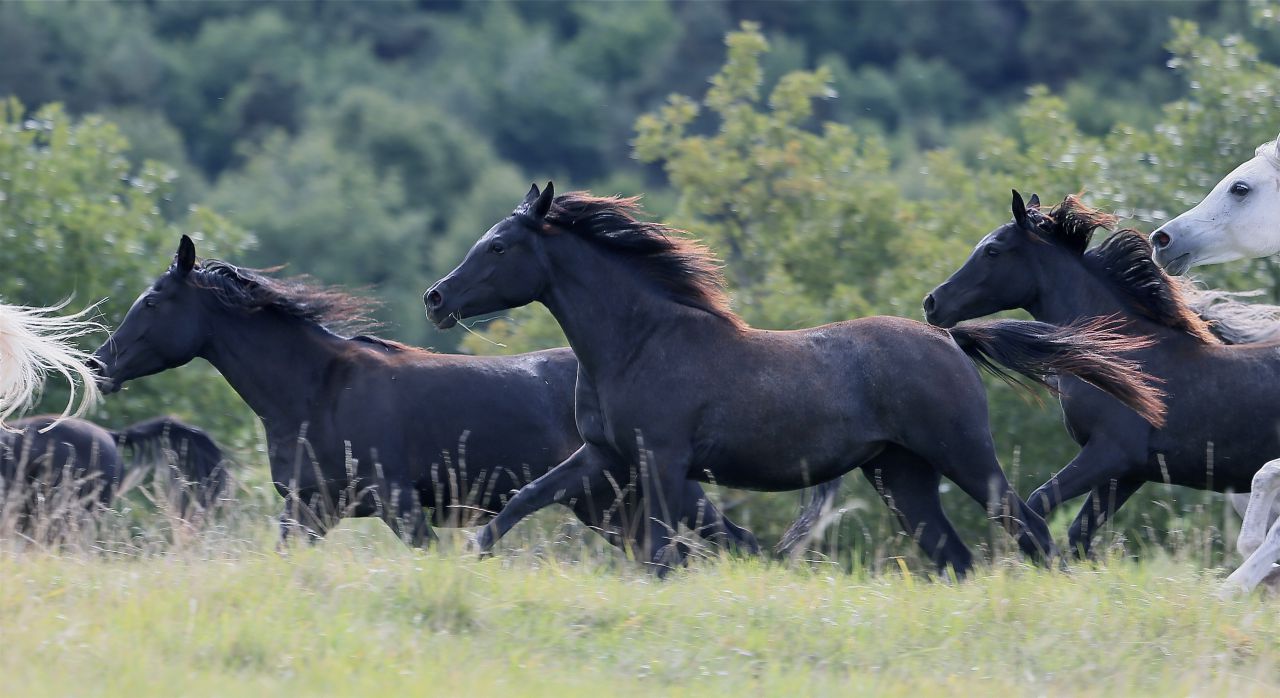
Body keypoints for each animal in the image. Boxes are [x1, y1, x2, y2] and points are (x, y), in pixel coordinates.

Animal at [89, 235, 761, 558]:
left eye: (153, 301)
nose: (102, 364)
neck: (314, 391)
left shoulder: (398, 503)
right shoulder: (311, 507)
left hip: (652, 491)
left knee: (733, 543)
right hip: (604, 504)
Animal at [424, 182, 1165, 576]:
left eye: (498, 246)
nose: (435, 298)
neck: (638, 342)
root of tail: (946, 336)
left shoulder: (660, 460)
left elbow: (667, 550)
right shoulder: (605, 454)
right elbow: (524, 500)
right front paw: (468, 553)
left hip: (962, 453)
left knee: (1026, 525)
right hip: (899, 474)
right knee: (954, 556)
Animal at [924, 190, 1280, 560]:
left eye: (992, 250)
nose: (932, 302)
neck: (1122, 356)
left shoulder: (1109, 454)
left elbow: (1039, 504)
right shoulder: (1128, 473)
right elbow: (1079, 535)